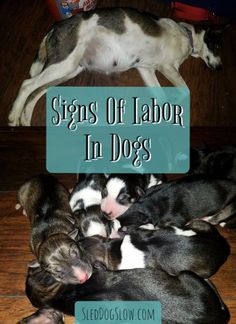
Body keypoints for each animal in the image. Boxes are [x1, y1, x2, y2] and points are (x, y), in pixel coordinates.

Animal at [8, 7, 224, 126]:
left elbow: (161, 97)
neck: (186, 36)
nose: (221, 68)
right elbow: (186, 90)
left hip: (68, 69)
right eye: (217, 46)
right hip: (63, 64)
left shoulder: (146, 69)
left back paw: (25, 118)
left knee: (36, 92)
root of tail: (55, 26)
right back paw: (13, 116)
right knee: (27, 84)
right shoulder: (168, 68)